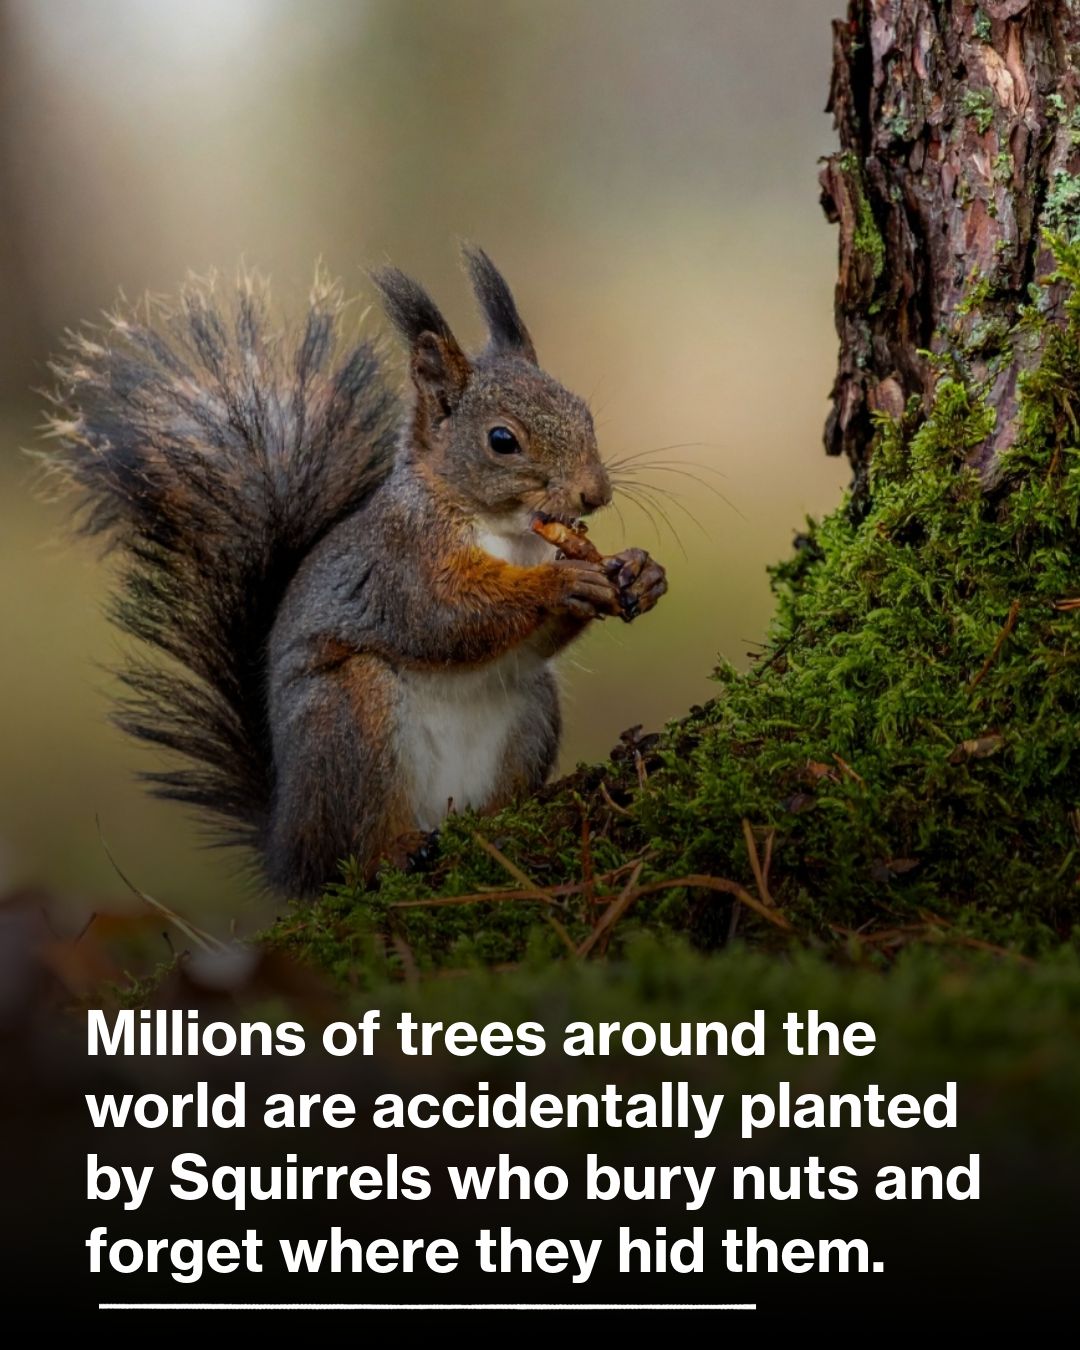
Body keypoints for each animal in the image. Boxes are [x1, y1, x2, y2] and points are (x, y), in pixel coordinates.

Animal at [45, 246, 667, 897]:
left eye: (584, 412)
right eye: (502, 440)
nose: (595, 493)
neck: (504, 532)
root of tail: (285, 847)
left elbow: (532, 641)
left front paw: (639, 572)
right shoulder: (399, 562)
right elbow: (446, 619)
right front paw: (562, 583)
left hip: (531, 711)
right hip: (349, 719)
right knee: (349, 854)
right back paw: (393, 853)